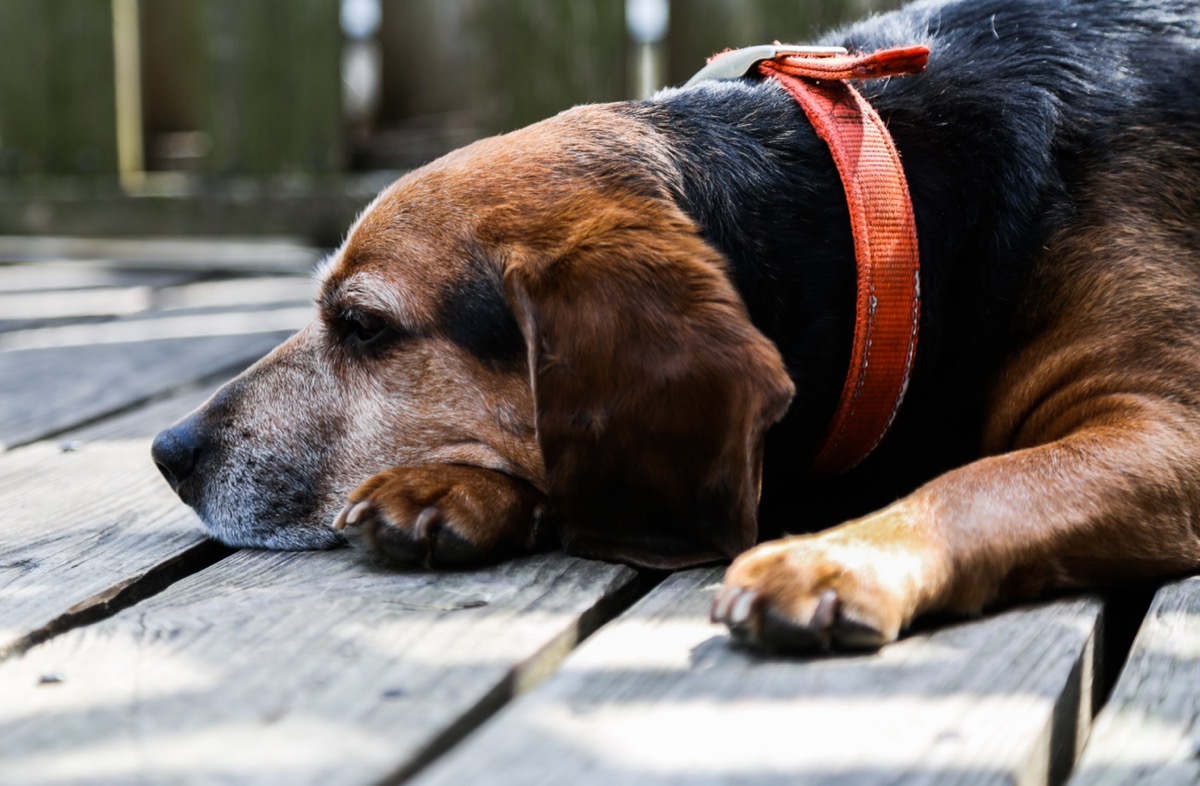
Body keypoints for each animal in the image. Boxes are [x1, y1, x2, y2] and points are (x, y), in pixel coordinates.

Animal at [150, 0, 1200, 652]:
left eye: (364, 326)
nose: (167, 451)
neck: (890, 199)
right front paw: (449, 487)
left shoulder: (1168, 429)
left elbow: (983, 482)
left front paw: (838, 555)